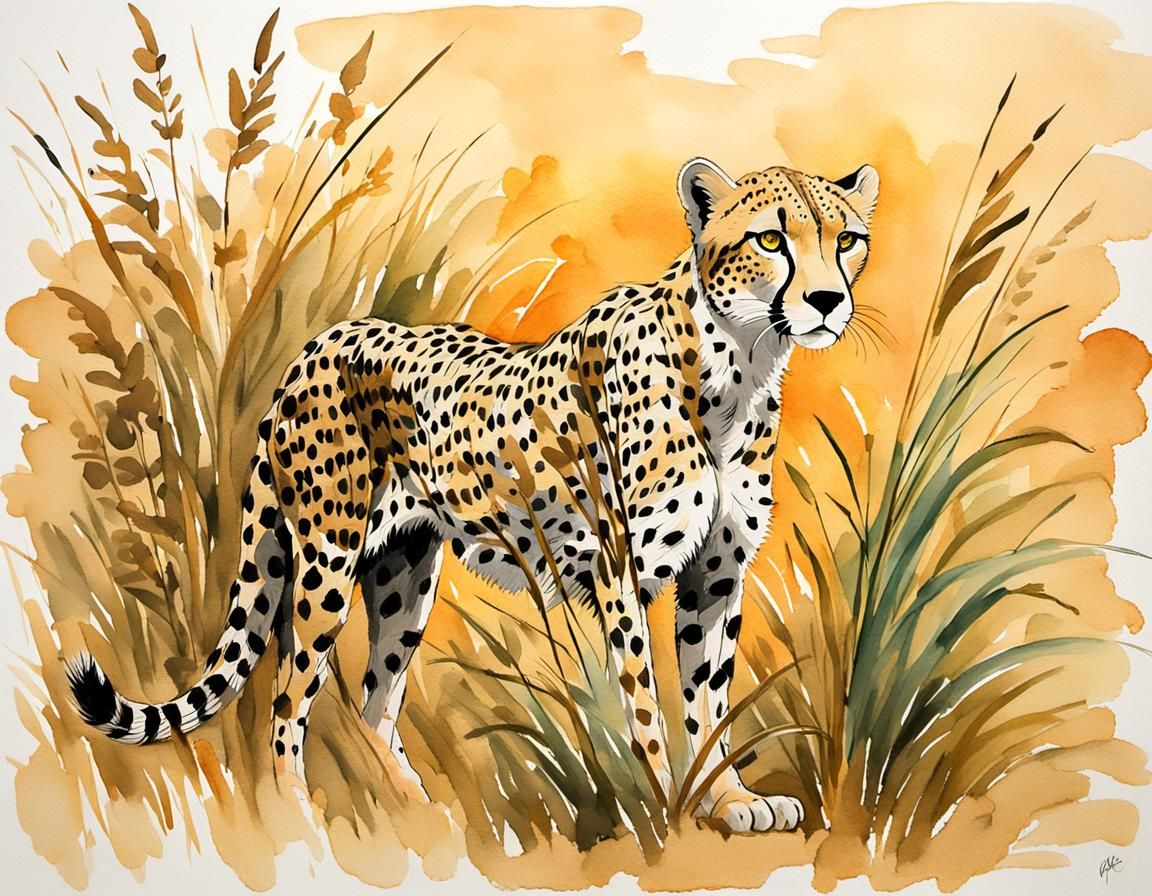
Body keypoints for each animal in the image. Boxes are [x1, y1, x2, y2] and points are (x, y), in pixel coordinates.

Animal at [67, 157, 879, 833]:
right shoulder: (620, 571)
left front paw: (728, 798)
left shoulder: (716, 573)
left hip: (405, 575)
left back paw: (417, 811)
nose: (825, 300)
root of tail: (315, 347)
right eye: (771, 240)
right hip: (325, 562)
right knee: (288, 697)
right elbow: (648, 703)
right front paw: (667, 803)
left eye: (846, 240)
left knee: (375, 704)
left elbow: (709, 699)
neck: (738, 363)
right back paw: (297, 812)